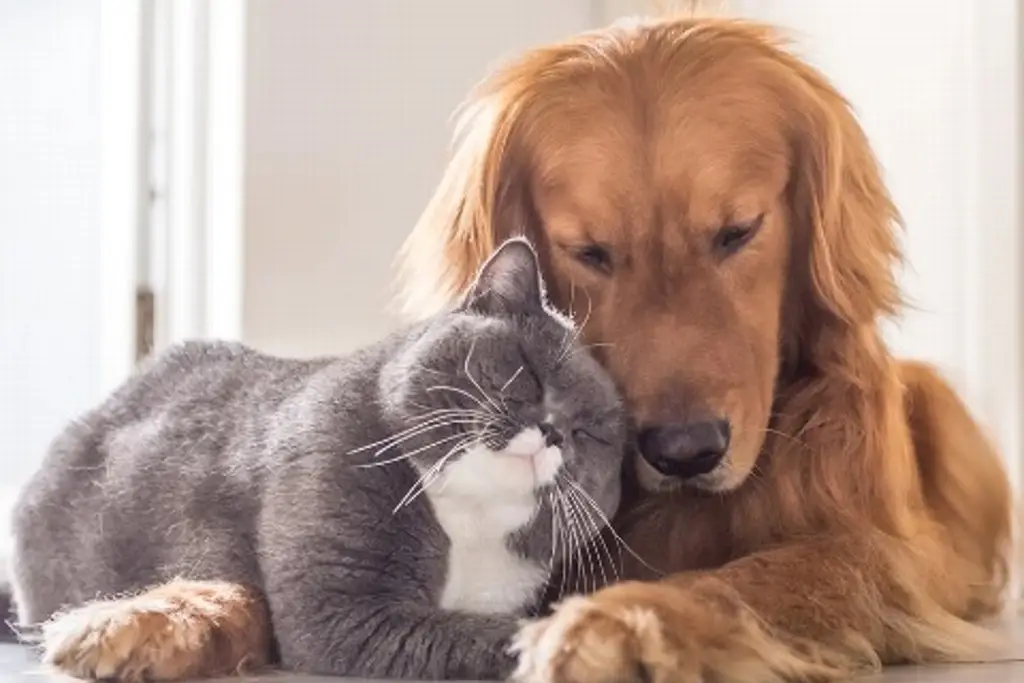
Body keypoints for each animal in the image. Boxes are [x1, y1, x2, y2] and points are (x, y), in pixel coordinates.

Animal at [9, 237, 622, 679]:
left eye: (591, 432)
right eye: (529, 371)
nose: (554, 432)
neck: (468, 521)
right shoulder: (343, 609)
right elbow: (480, 636)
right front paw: (575, 641)